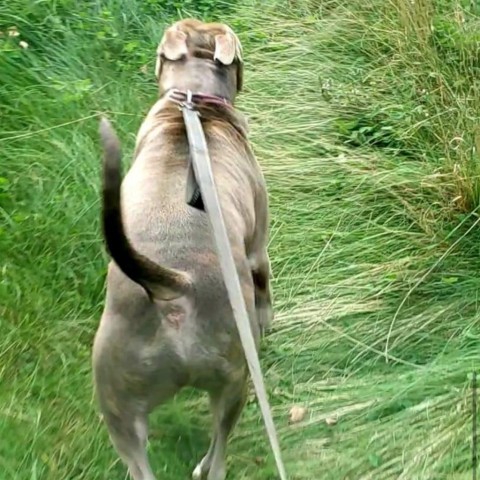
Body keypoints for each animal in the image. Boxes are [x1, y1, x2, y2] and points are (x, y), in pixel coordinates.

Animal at [93, 18, 274, 480]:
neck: (193, 103)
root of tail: (174, 290)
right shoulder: (258, 248)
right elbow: (265, 287)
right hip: (234, 378)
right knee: (218, 448)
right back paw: (208, 463)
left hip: (118, 405)